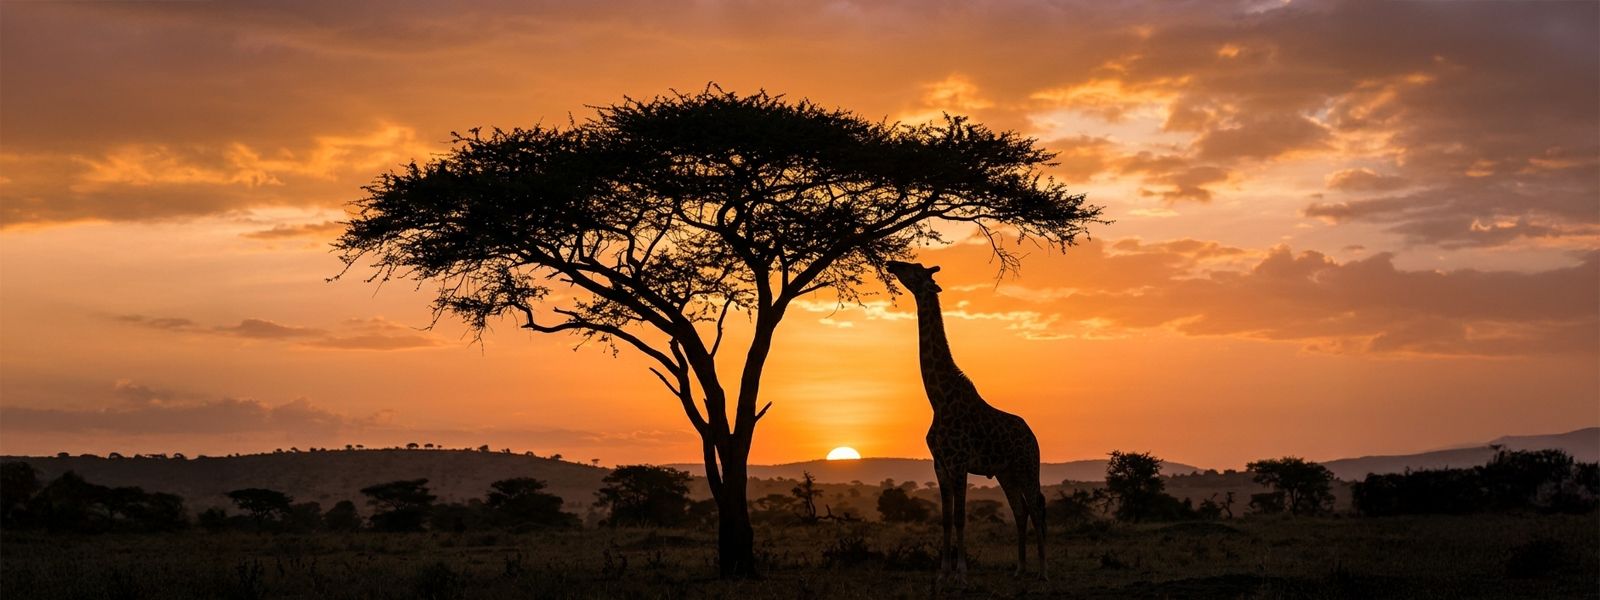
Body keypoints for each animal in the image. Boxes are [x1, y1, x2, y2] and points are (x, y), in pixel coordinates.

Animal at [885, 260, 1048, 582]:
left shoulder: (959, 462)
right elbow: (946, 519)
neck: (938, 399)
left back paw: (1043, 571)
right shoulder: (940, 464)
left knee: (1036, 507)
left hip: (1027, 465)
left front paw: (961, 571)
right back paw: (1019, 568)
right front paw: (943, 572)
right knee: (1020, 510)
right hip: (1006, 472)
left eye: (914, 270)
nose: (891, 263)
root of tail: (1032, 436)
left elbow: (960, 518)